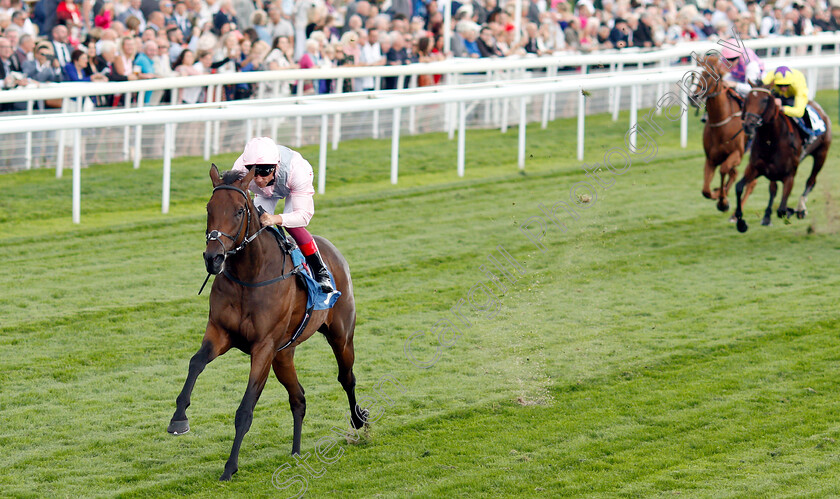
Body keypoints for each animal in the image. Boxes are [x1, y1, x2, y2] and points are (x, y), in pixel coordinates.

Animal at [168, 167, 368, 480]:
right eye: (209, 208)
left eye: (239, 211)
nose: (213, 258)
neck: (249, 275)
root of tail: (334, 251)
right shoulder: (220, 333)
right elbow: (195, 362)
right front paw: (179, 419)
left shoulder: (263, 347)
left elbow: (245, 409)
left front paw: (230, 467)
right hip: (283, 355)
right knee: (299, 398)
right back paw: (296, 452)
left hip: (341, 335)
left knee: (346, 377)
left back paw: (358, 420)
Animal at [692, 53, 756, 213]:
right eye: (692, 74)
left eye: (707, 74)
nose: (693, 98)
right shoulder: (711, 158)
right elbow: (706, 190)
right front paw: (718, 195)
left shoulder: (737, 154)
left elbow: (724, 170)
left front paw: (723, 201)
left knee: (751, 182)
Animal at [732, 85, 832, 232]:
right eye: (747, 99)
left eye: (765, 100)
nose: (748, 125)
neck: (771, 139)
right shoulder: (756, 168)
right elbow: (739, 187)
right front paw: (741, 223)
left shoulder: (789, 175)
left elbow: (782, 210)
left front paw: (794, 211)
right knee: (773, 189)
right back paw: (768, 216)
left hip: (821, 154)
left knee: (811, 181)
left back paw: (801, 207)